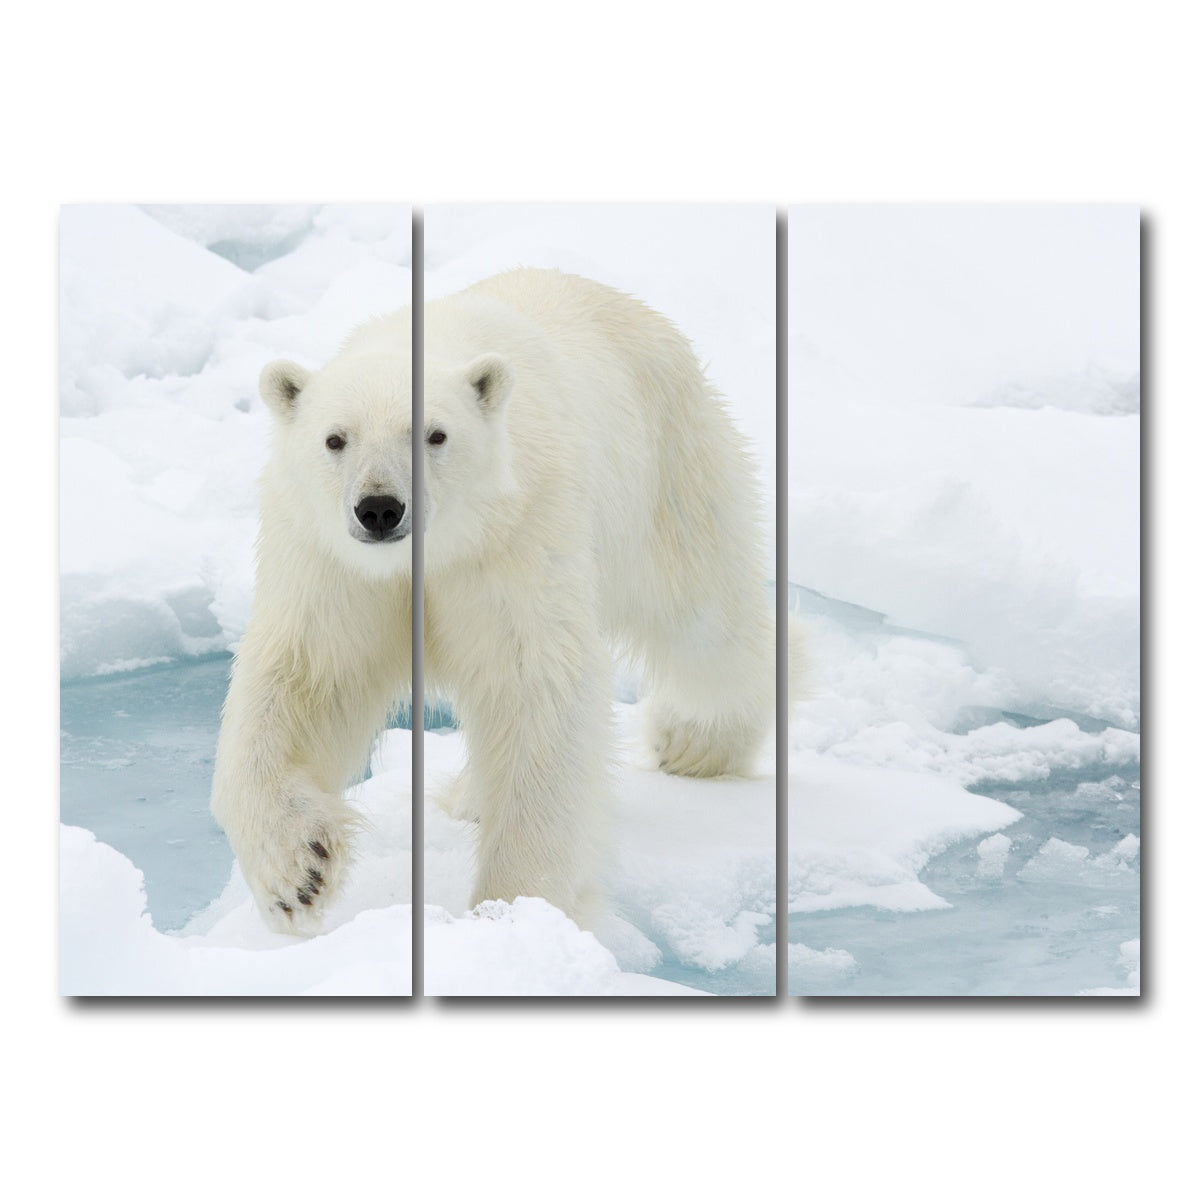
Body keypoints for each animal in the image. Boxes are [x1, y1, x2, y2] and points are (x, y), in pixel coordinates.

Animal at [211, 268, 777, 935]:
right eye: (334, 439)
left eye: (434, 434)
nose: (380, 508)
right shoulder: (332, 563)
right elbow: (305, 676)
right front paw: (298, 872)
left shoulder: (517, 533)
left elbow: (534, 685)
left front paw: (515, 908)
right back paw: (470, 796)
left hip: (668, 469)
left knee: (705, 620)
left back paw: (694, 742)